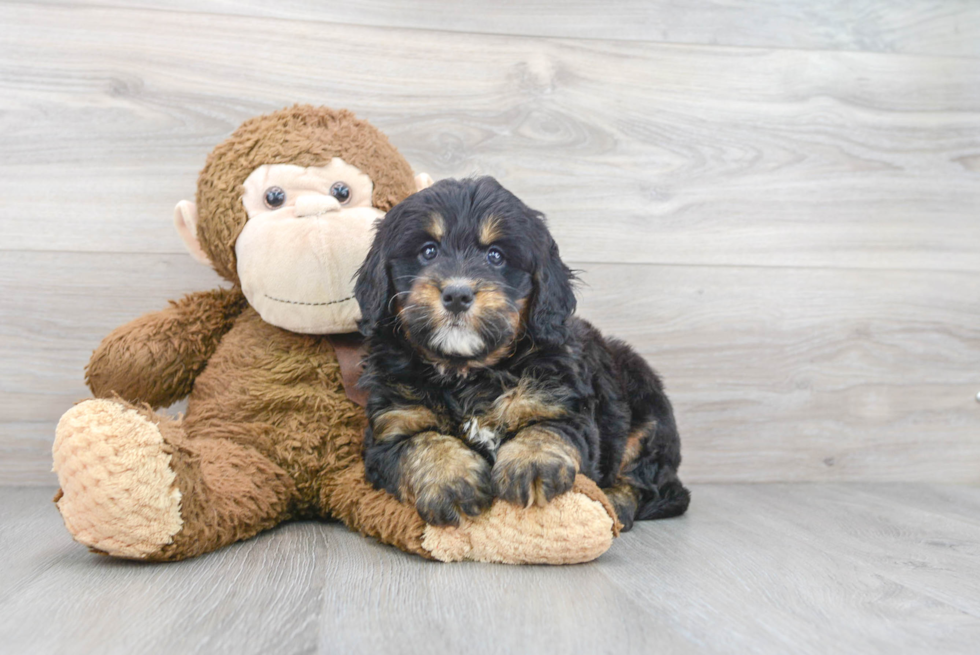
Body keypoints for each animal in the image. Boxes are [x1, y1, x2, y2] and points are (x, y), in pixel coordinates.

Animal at [354, 177, 688, 532]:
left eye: (496, 256)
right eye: (428, 251)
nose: (457, 294)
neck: (468, 373)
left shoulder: (562, 403)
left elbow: (545, 428)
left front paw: (530, 464)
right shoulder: (391, 426)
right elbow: (422, 442)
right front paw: (452, 480)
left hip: (648, 410)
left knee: (641, 481)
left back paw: (615, 504)